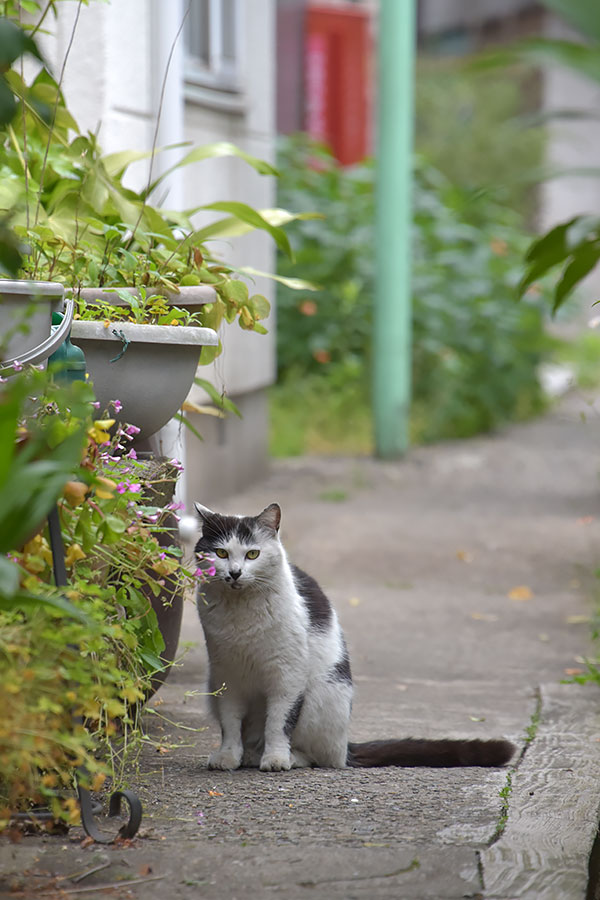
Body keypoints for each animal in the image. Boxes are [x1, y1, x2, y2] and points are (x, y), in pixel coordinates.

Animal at [195, 502, 512, 768]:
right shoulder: (226, 678)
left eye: (253, 554)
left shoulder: (288, 676)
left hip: (322, 696)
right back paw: (248, 756)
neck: (241, 615)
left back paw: (286, 757)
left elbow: (278, 723)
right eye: (221, 553)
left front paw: (275, 759)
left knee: (322, 757)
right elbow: (230, 724)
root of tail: (347, 746)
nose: (235, 573)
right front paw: (227, 757)